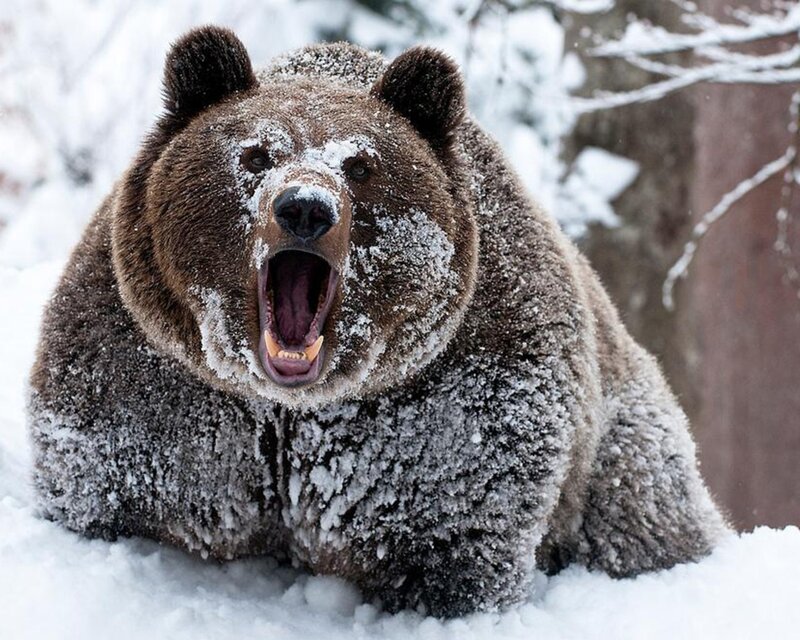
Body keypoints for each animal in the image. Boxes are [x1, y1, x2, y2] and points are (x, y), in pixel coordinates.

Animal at [28, 26, 728, 617]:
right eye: (256, 154)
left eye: (361, 165)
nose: (305, 208)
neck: (290, 408)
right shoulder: (155, 381)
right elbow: (106, 481)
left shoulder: (449, 403)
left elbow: (454, 531)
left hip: (623, 446)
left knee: (641, 515)